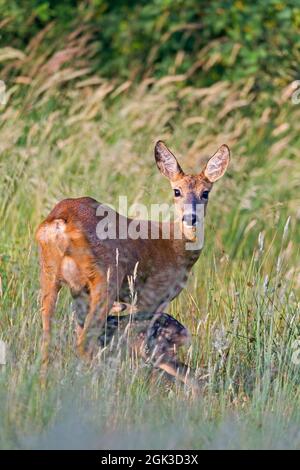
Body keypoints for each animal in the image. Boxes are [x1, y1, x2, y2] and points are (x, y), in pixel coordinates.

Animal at [35, 141, 230, 366]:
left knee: (46, 339)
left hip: (51, 275)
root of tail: (60, 222)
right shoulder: (151, 295)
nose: (191, 218)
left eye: (205, 193)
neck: (175, 245)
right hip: (105, 279)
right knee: (84, 342)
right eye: (177, 191)